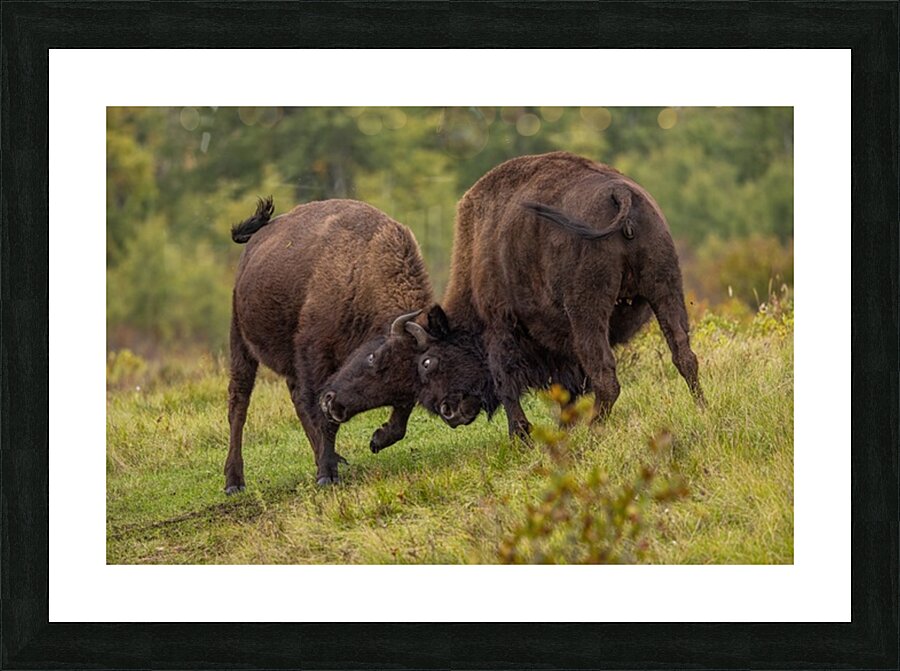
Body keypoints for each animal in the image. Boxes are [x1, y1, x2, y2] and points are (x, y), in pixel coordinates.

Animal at [225, 197, 434, 490]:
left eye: (403, 385)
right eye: (373, 357)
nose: (335, 406)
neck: (362, 271)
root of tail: (256, 241)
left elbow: (401, 417)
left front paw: (377, 440)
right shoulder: (315, 355)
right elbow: (321, 417)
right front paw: (327, 475)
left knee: (296, 400)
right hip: (241, 342)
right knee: (239, 403)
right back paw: (234, 481)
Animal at [325, 151, 704, 440]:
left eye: (428, 362)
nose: (449, 411)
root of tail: (619, 192)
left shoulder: (499, 325)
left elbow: (506, 380)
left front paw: (521, 435)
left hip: (588, 311)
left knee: (606, 376)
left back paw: (594, 430)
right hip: (665, 287)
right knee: (683, 355)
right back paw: (701, 408)